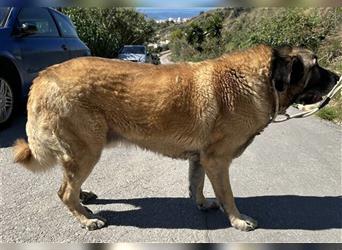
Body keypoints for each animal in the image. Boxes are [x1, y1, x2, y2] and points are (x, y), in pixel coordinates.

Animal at [12, 44, 340, 230]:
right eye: (316, 66)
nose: (338, 78)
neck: (263, 79)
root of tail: (42, 77)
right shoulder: (217, 161)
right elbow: (228, 195)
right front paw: (237, 220)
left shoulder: (202, 159)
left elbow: (197, 184)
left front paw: (203, 204)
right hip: (87, 151)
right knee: (64, 192)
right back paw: (86, 219)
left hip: (81, 153)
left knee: (70, 185)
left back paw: (85, 199)